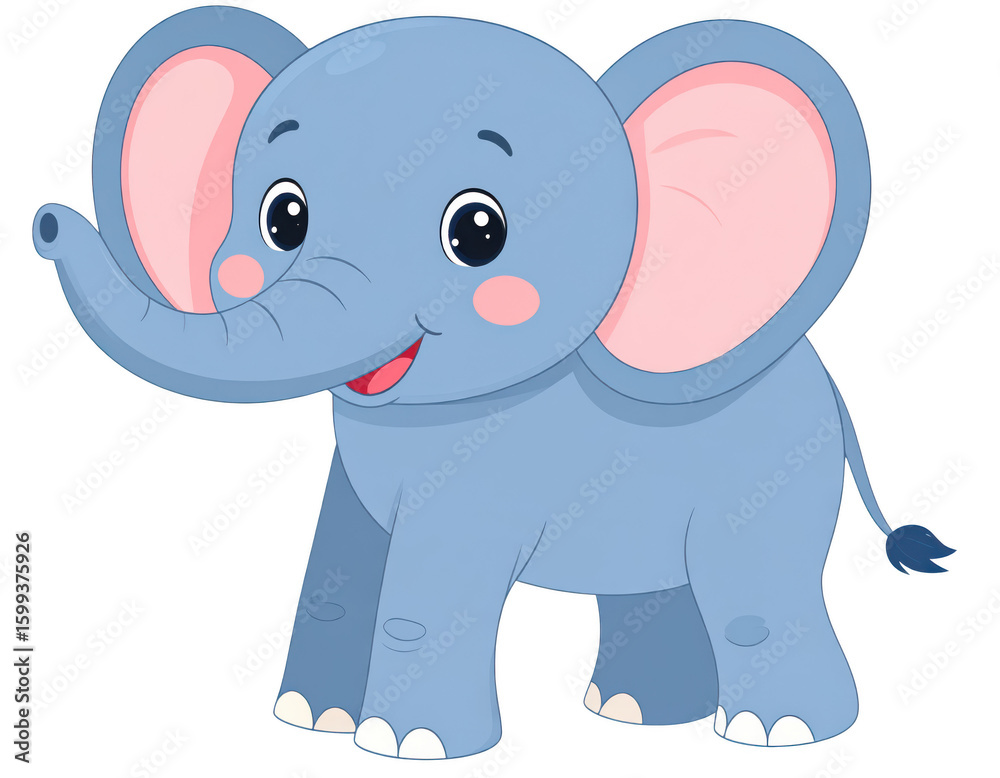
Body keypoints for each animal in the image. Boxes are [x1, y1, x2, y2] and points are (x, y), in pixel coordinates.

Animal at [32, 7, 955, 759]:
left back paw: (779, 733)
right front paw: (310, 721)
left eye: (477, 231)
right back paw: (632, 714)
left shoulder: (482, 476)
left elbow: (430, 588)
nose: (43, 222)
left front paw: (405, 745)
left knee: (756, 588)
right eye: (282, 217)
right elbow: (343, 560)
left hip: (771, 477)